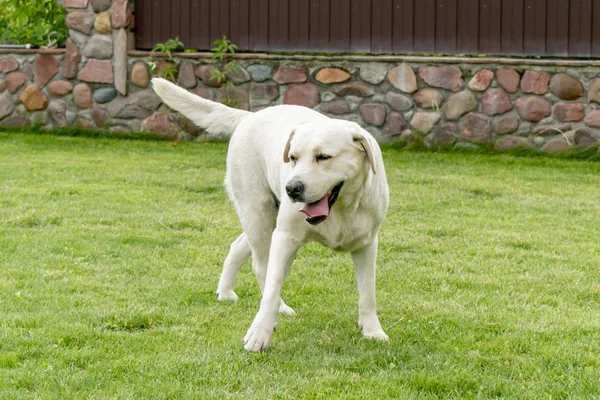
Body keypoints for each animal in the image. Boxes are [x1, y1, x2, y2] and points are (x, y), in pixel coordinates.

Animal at [152, 77, 392, 350]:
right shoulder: (285, 237)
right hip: (258, 214)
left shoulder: (366, 244)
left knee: (238, 245)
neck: (340, 209)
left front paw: (372, 330)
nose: (292, 188)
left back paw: (225, 292)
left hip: (261, 221)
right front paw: (260, 334)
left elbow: (368, 292)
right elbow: (273, 285)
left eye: (323, 157)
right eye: (293, 158)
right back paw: (279, 307)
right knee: (261, 267)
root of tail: (250, 116)